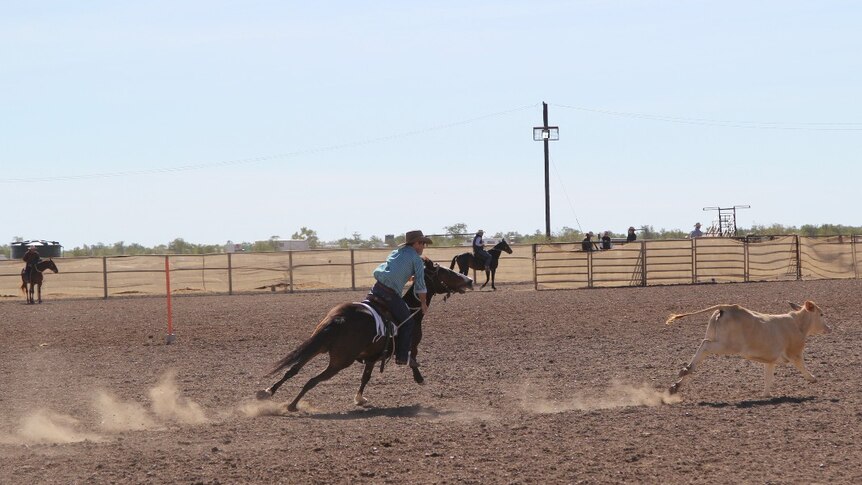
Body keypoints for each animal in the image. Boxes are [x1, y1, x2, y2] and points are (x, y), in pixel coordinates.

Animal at [256, 255, 472, 410]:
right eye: (445, 272)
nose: (469, 280)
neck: (412, 310)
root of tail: (339, 319)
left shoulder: (371, 357)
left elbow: (365, 377)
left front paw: (359, 398)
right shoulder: (410, 345)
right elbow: (411, 360)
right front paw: (420, 379)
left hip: (317, 346)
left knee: (293, 369)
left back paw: (267, 392)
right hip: (340, 361)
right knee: (312, 380)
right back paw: (292, 405)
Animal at [668, 300, 832, 396]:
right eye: (821, 314)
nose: (829, 328)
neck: (798, 324)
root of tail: (728, 308)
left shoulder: (770, 360)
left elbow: (768, 376)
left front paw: (767, 395)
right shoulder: (795, 352)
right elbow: (801, 365)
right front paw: (812, 378)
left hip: (716, 338)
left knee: (701, 353)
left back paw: (678, 382)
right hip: (727, 345)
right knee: (705, 345)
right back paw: (685, 371)